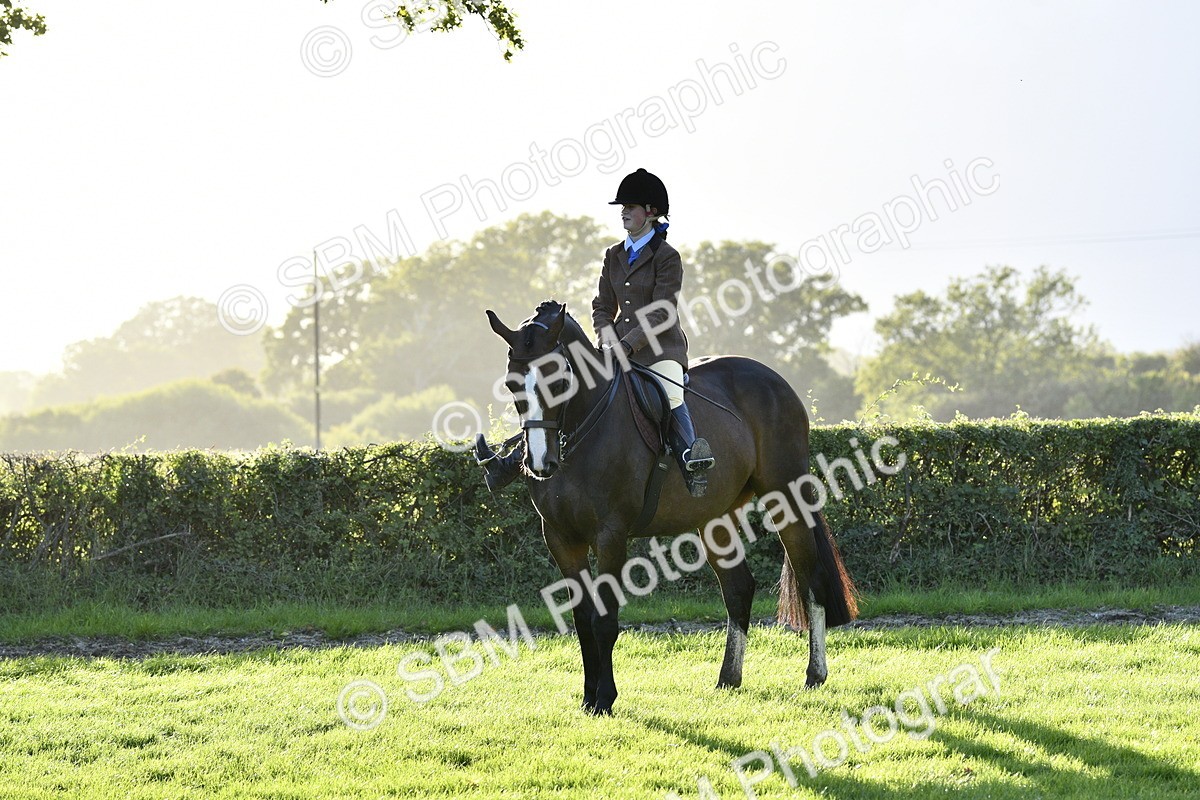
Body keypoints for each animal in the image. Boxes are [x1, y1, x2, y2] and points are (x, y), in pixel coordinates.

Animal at [486, 300, 857, 715]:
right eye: (511, 384)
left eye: (558, 382)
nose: (539, 463)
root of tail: (775, 380)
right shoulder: (562, 539)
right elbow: (583, 620)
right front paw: (587, 698)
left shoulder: (611, 536)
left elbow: (604, 621)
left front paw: (604, 699)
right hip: (715, 518)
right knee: (738, 589)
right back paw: (728, 679)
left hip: (786, 497)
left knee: (812, 579)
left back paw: (814, 674)